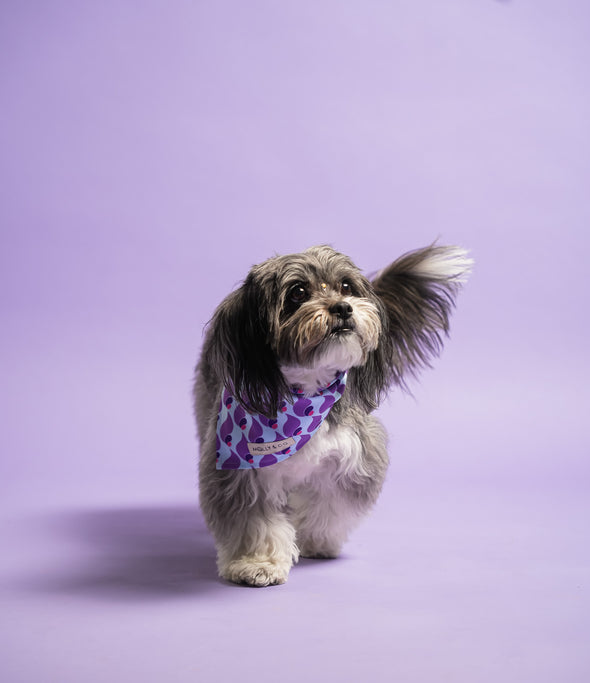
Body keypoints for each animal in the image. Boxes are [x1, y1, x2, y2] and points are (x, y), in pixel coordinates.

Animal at [194, 243, 472, 584]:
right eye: (298, 292)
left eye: (346, 286)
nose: (343, 308)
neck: (304, 399)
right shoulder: (241, 472)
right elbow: (254, 522)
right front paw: (258, 563)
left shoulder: (351, 458)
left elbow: (329, 505)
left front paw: (316, 542)